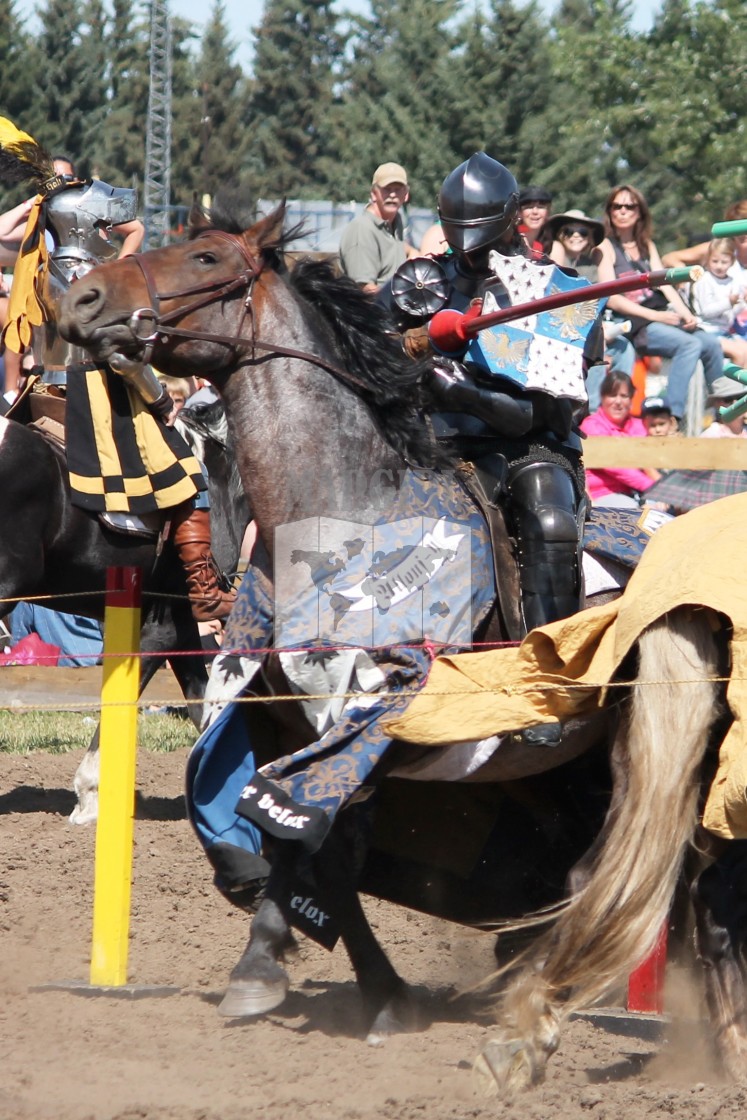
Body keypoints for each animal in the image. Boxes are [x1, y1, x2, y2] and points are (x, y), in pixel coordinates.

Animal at [54, 201, 747, 1084]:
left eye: (205, 257)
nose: (83, 298)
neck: (341, 512)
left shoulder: (375, 724)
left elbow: (319, 842)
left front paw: (293, 971)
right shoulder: (283, 723)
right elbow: (297, 844)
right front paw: (342, 984)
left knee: (696, 880)